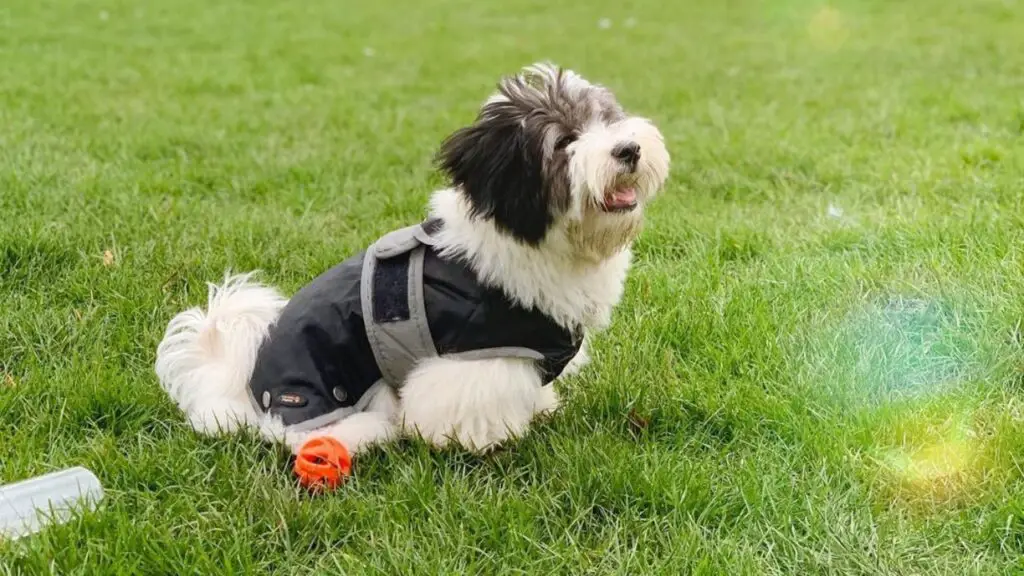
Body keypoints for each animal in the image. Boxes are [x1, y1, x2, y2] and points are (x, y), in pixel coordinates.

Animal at [153, 61, 671, 457]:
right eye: (563, 142)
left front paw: (538, 409)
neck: (541, 242)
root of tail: (240, 392)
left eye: (606, 118)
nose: (628, 148)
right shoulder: (469, 357)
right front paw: (480, 440)